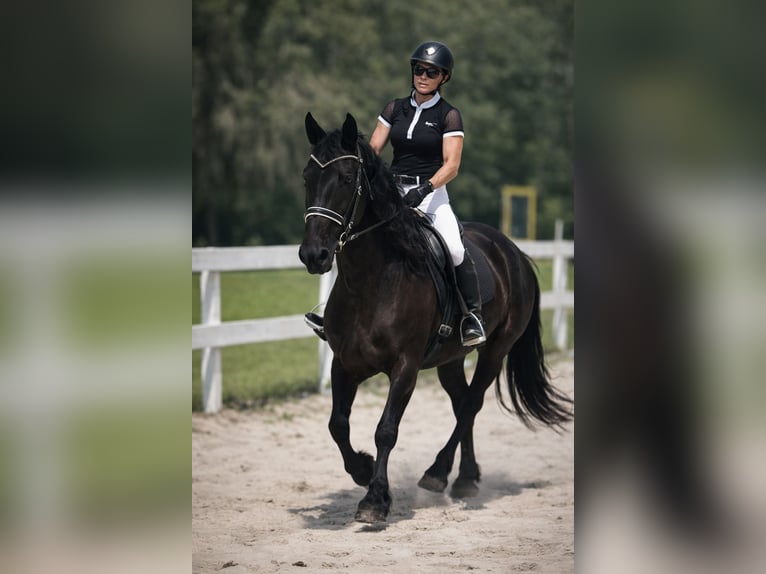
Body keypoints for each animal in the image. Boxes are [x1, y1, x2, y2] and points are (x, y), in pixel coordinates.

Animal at [298, 112, 573, 524]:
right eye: (307, 177)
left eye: (347, 179)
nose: (313, 255)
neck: (372, 282)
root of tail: (513, 251)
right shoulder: (343, 364)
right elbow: (337, 424)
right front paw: (362, 470)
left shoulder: (405, 366)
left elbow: (386, 430)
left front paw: (375, 500)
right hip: (451, 358)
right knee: (462, 405)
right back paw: (465, 479)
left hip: (495, 350)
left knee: (472, 404)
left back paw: (437, 473)